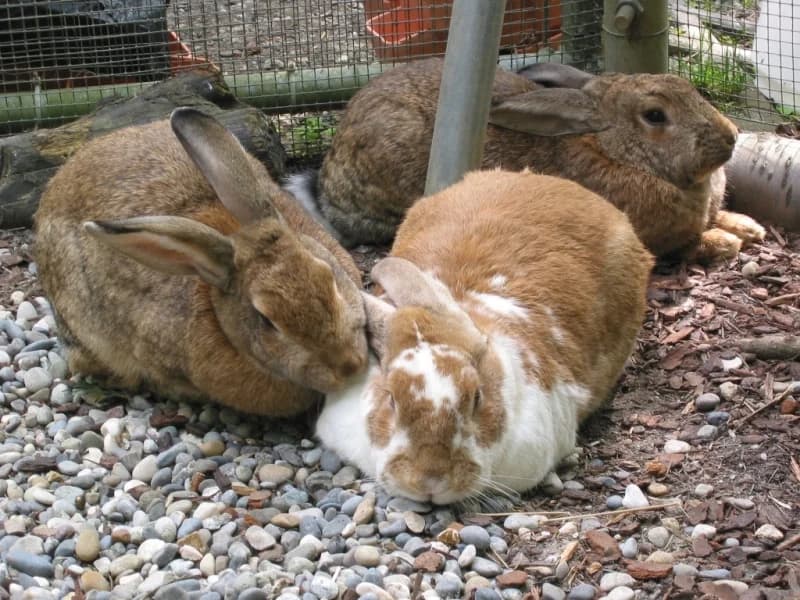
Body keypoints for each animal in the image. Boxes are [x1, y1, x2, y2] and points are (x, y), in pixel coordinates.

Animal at [286, 57, 765, 261]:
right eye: (655, 116)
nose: (730, 137)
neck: (614, 152)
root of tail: (326, 187)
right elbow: (686, 245)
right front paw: (724, 242)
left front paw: (749, 227)